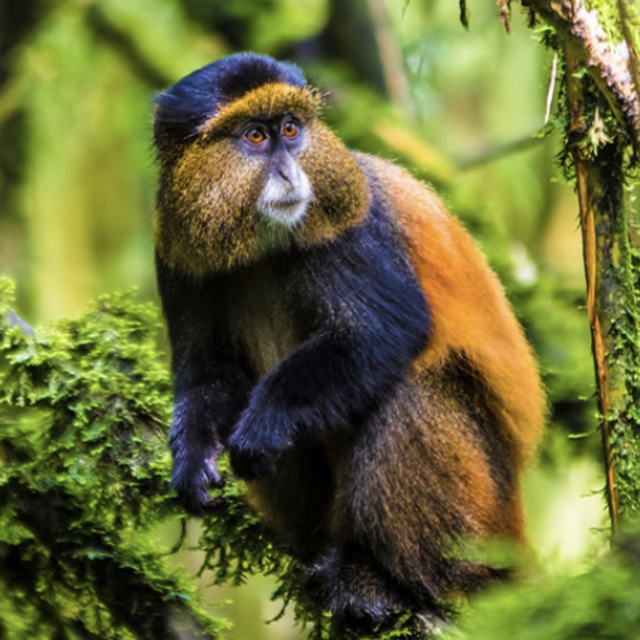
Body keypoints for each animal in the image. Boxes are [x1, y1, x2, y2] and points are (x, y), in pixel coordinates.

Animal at [153, 52, 545, 630]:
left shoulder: (348, 230)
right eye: (255, 136)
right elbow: (208, 370)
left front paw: (265, 423)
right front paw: (193, 455)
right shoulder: (177, 254)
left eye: (291, 130)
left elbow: (381, 333)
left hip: (481, 516)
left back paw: (384, 581)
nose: (290, 171)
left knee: (408, 391)